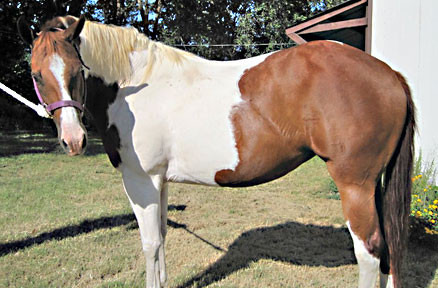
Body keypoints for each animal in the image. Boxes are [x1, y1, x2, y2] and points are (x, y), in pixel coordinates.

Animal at [17, 15, 414, 288]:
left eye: (76, 70)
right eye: (36, 74)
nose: (73, 140)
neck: (133, 84)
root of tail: (390, 74)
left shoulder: (140, 180)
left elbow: (149, 242)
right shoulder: (160, 181)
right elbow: (162, 236)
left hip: (354, 185)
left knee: (368, 251)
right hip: (373, 185)